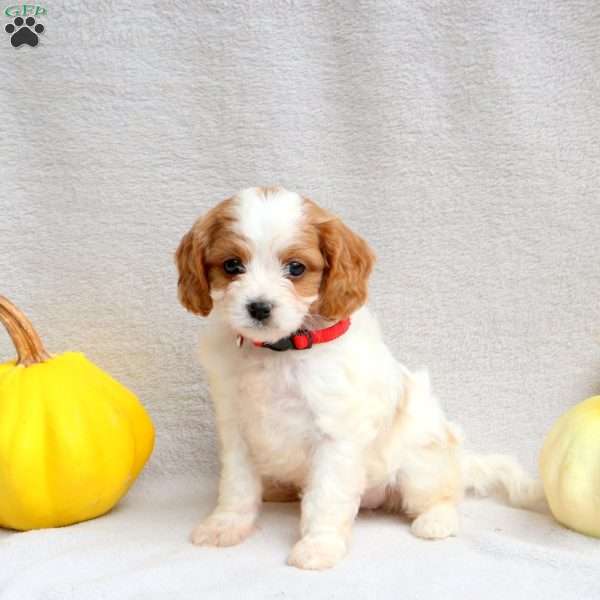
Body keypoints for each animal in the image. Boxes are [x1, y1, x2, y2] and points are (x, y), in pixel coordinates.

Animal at [175, 188, 544, 572]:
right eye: (232, 266)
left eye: (296, 268)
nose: (259, 307)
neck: (280, 351)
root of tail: (458, 461)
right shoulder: (237, 430)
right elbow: (237, 487)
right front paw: (225, 525)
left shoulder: (336, 438)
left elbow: (325, 497)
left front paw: (319, 546)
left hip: (419, 467)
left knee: (443, 495)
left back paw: (436, 521)